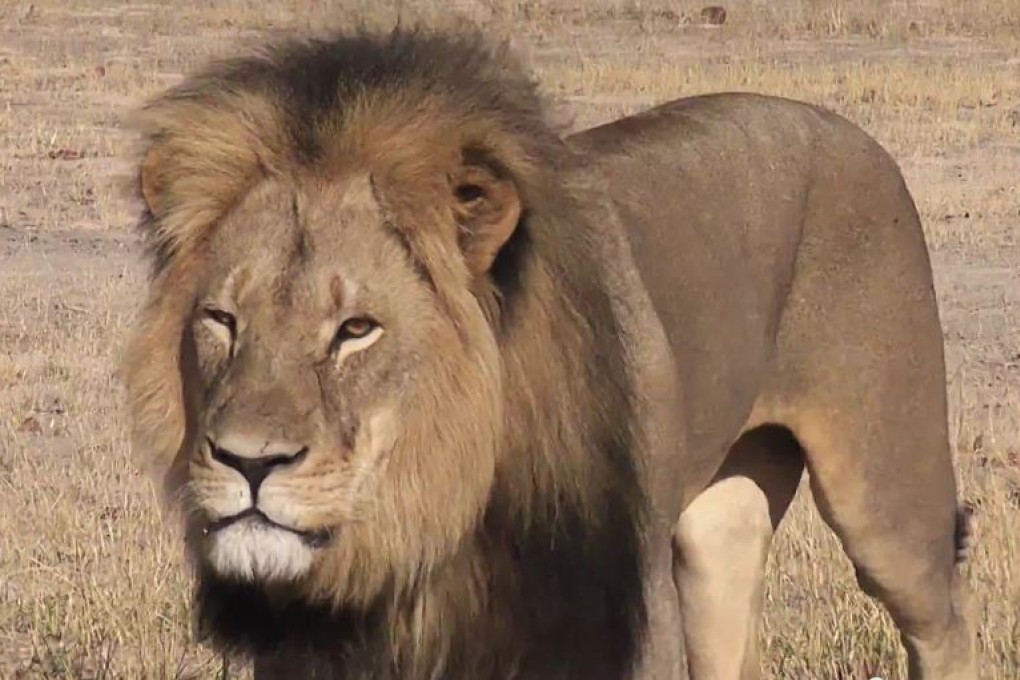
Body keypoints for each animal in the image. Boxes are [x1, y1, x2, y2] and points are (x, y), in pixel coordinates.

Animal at [122, 26, 976, 680]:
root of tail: (849, 131)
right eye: (222, 319)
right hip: (718, 535)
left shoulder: (616, 624)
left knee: (942, 627)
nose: (248, 462)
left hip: (887, 500)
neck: (435, 524)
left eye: (355, 329)